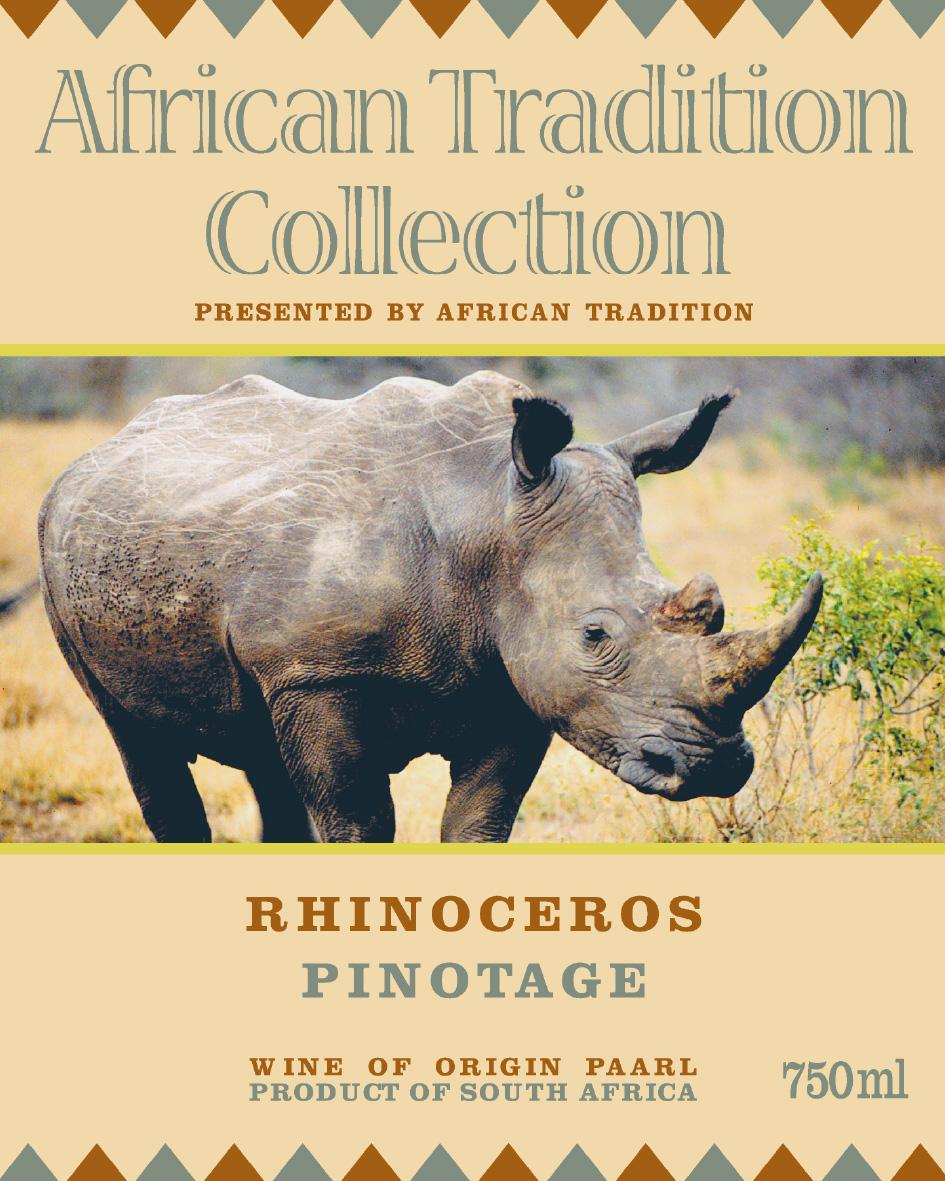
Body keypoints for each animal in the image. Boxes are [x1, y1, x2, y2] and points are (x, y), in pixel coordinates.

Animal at [38, 371, 822, 843]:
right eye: (595, 635)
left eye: (712, 612)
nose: (716, 766)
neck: (486, 513)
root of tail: (98, 450)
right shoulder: (316, 673)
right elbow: (357, 819)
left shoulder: (515, 673)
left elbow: (479, 820)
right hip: (61, 554)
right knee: (136, 738)